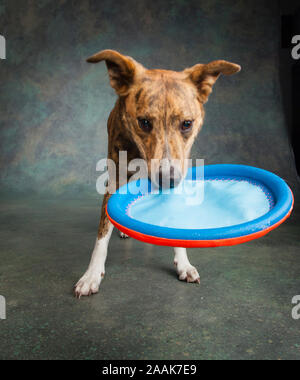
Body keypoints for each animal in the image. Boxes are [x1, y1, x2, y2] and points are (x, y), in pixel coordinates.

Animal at [75, 49, 241, 296]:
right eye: (144, 122)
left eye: (187, 124)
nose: (167, 179)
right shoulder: (115, 180)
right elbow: (102, 234)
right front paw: (91, 274)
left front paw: (184, 264)